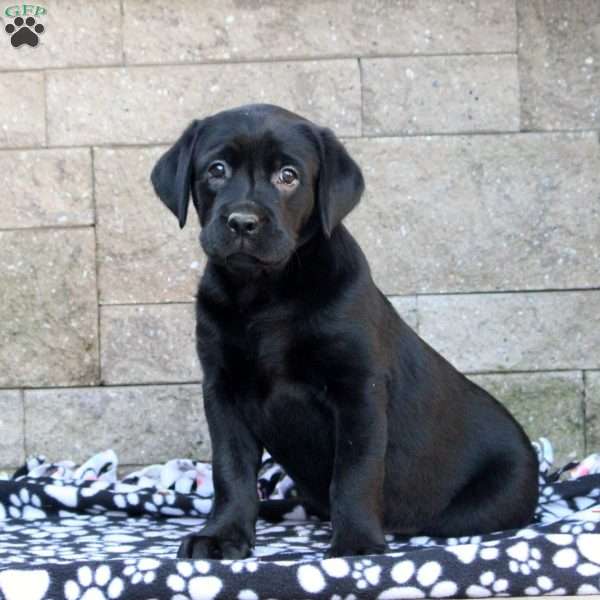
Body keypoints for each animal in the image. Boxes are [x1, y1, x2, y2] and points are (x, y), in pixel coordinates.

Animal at [150, 103, 540, 556]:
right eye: (216, 169)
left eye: (288, 175)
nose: (243, 222)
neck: (267, 293)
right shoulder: (222, 389)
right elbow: (230, 471)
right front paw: (222, 534)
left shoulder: (359, 390)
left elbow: (355, 472)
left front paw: (356, 543)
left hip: (484, 501)